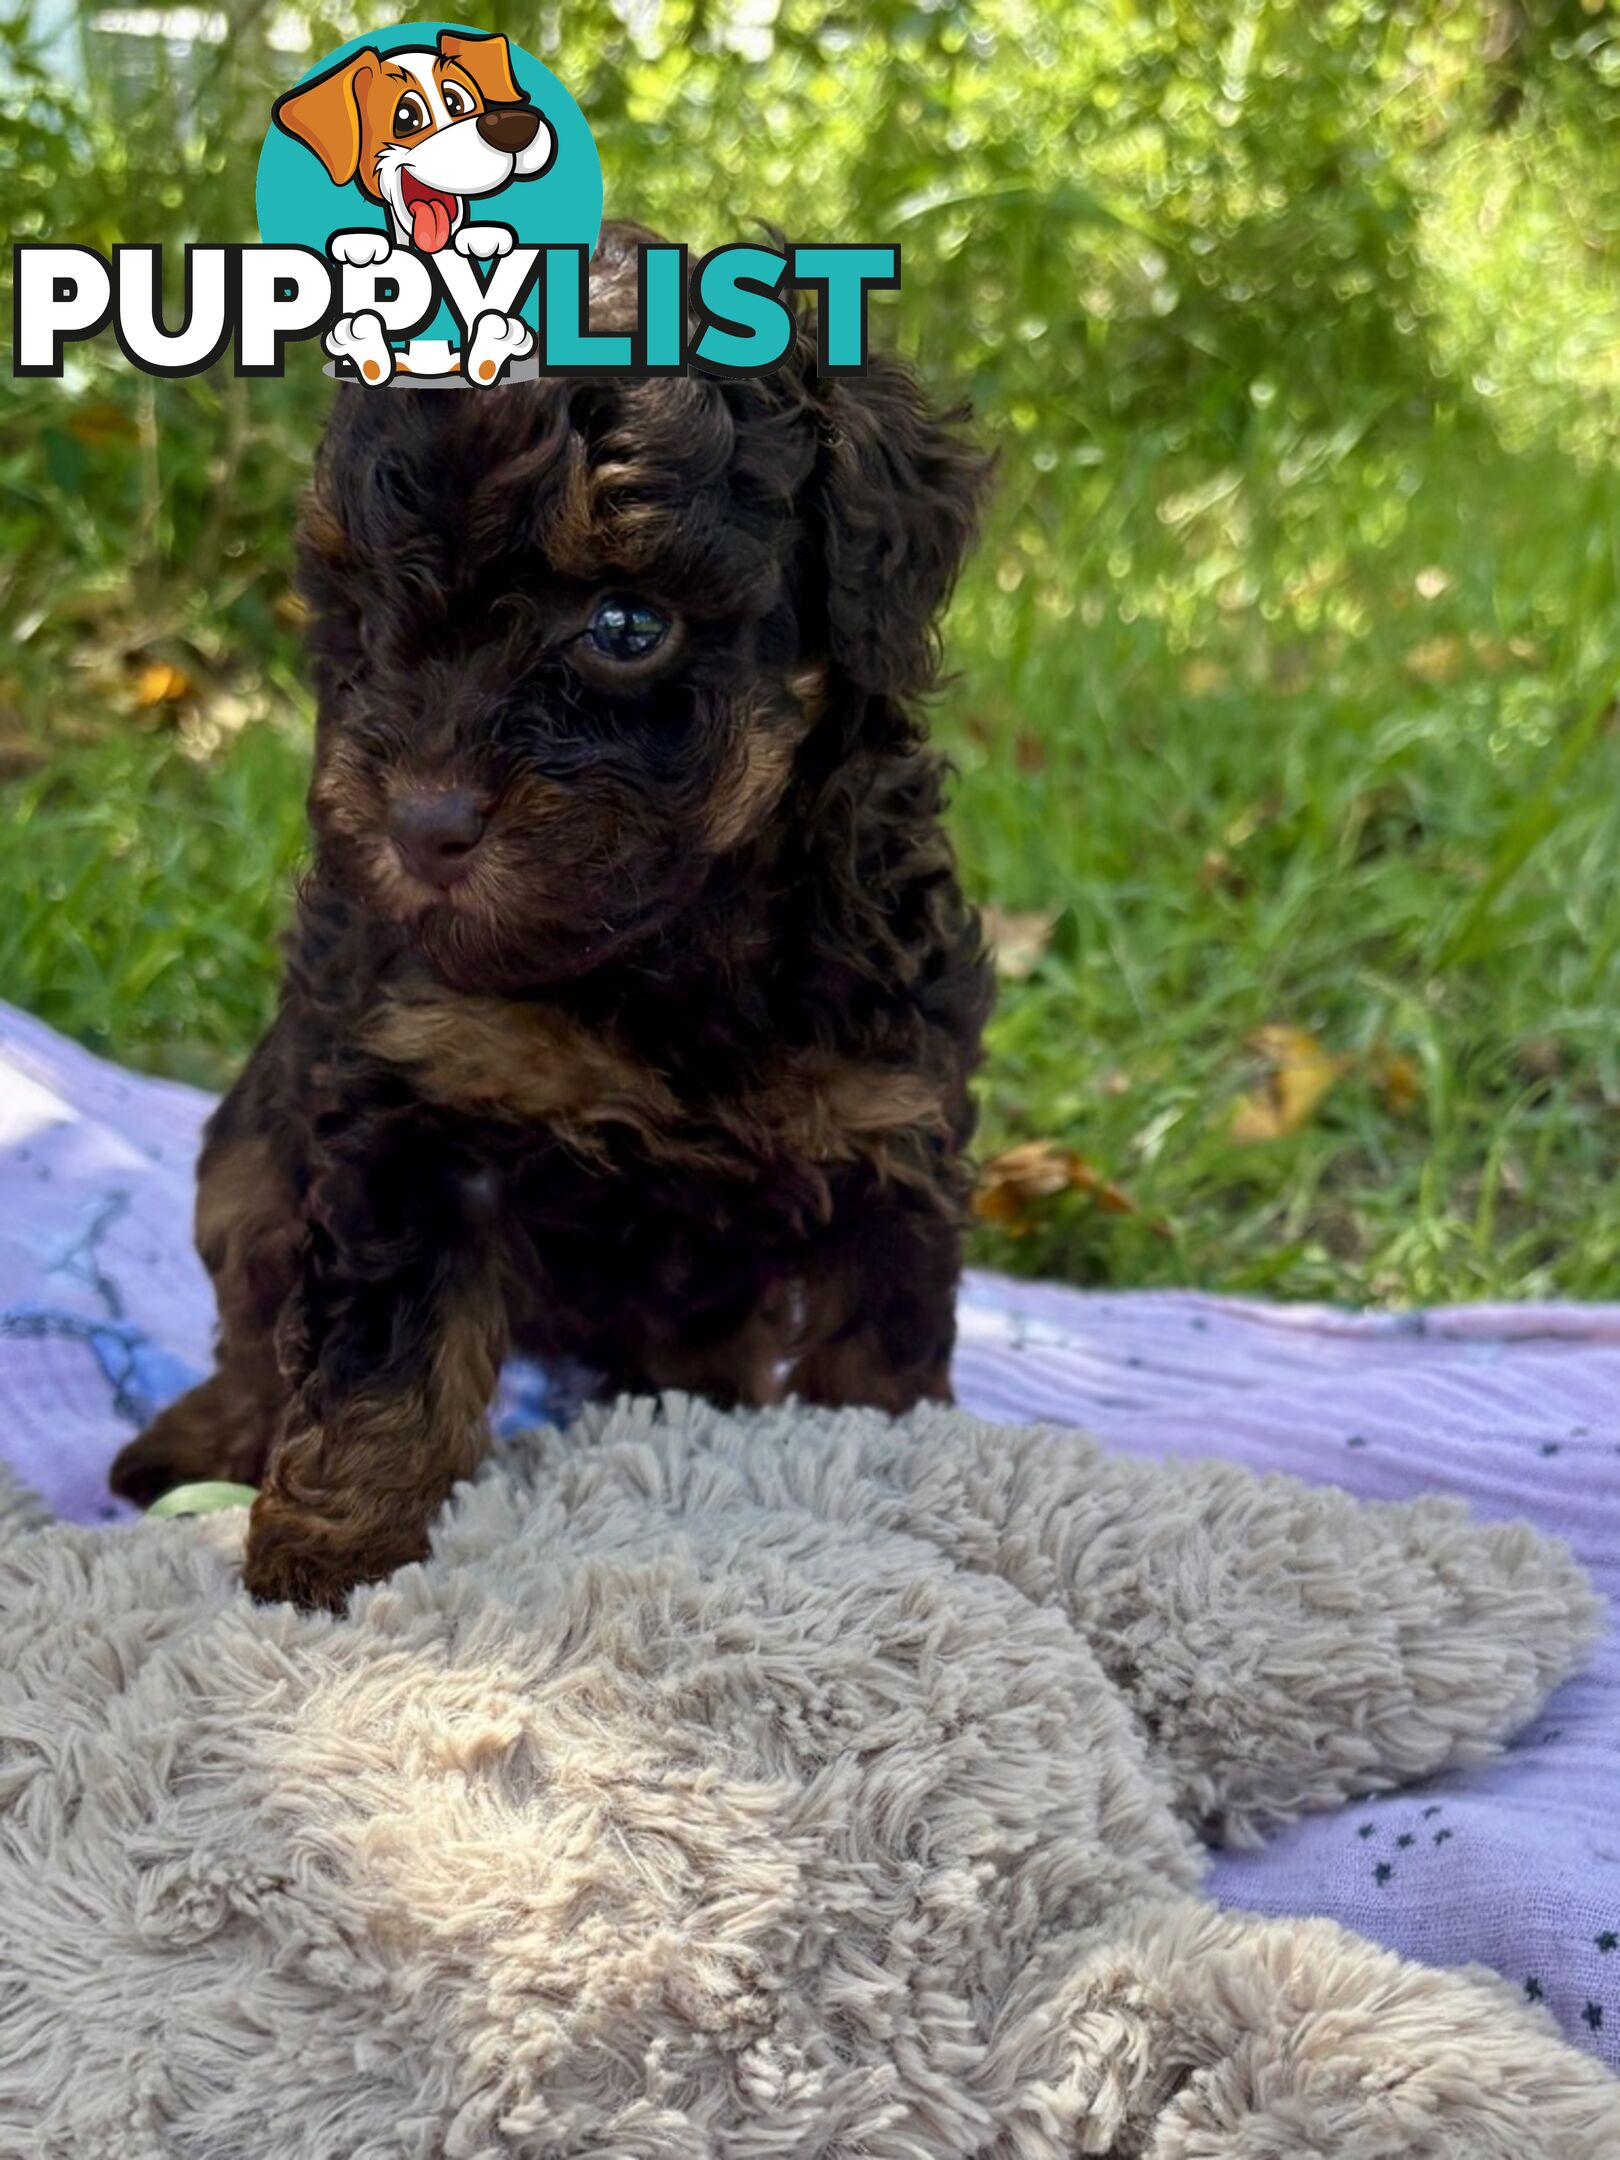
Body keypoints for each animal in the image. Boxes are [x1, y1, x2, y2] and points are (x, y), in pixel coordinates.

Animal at [108, 227, 997, 1615]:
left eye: (627, 624)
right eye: (366, 615)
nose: (419, 824)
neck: (671, 952)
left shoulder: (884, 1143)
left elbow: (876, 1379)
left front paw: (890, 1499)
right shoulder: (419, 1115)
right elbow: (381, 1369)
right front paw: (334, 1561)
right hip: (254, 1144)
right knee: (252, 1315)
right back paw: (206, 1438)